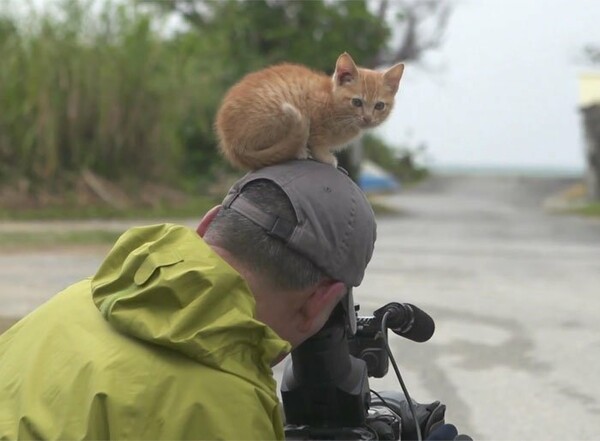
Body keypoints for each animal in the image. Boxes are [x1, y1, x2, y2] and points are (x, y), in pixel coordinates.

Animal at [214, 51, 404, 168]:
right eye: (357, 102)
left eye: (379, 106)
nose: (368, 118)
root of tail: (231, 144)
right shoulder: (314, 109)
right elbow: (317, 139)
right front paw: (325, 156)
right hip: (277, 111)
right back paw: (299, 150)